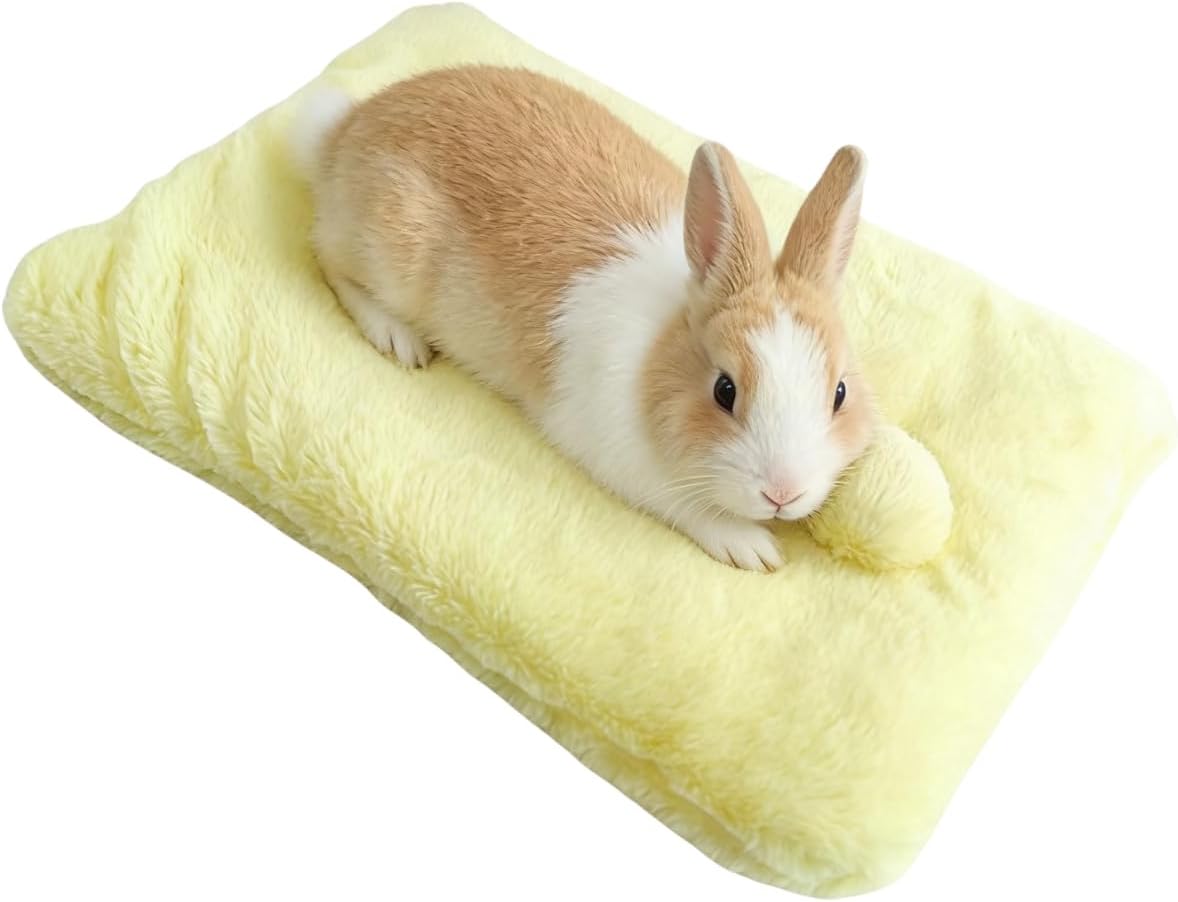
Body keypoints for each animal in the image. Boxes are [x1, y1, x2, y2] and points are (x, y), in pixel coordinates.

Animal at [291, 65, 875, 571]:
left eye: (840, 393)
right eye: (723, 391)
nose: (784, 492)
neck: (659, 354)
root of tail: (344, 131)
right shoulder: (626, 463)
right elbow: (687, 506)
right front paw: (751, 547)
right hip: (390, 249)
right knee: (326, 258)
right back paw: (397, 338)